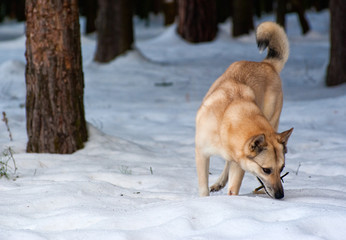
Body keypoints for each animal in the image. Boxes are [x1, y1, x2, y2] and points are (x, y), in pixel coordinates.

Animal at [196, 22, 294, 199]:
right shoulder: (202, 153)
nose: (280, 195)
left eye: (282, 168)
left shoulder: (240, 162)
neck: (225, 122)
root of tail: (266, 64)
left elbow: (233, 188)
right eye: (266, 170)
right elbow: (203, 189)